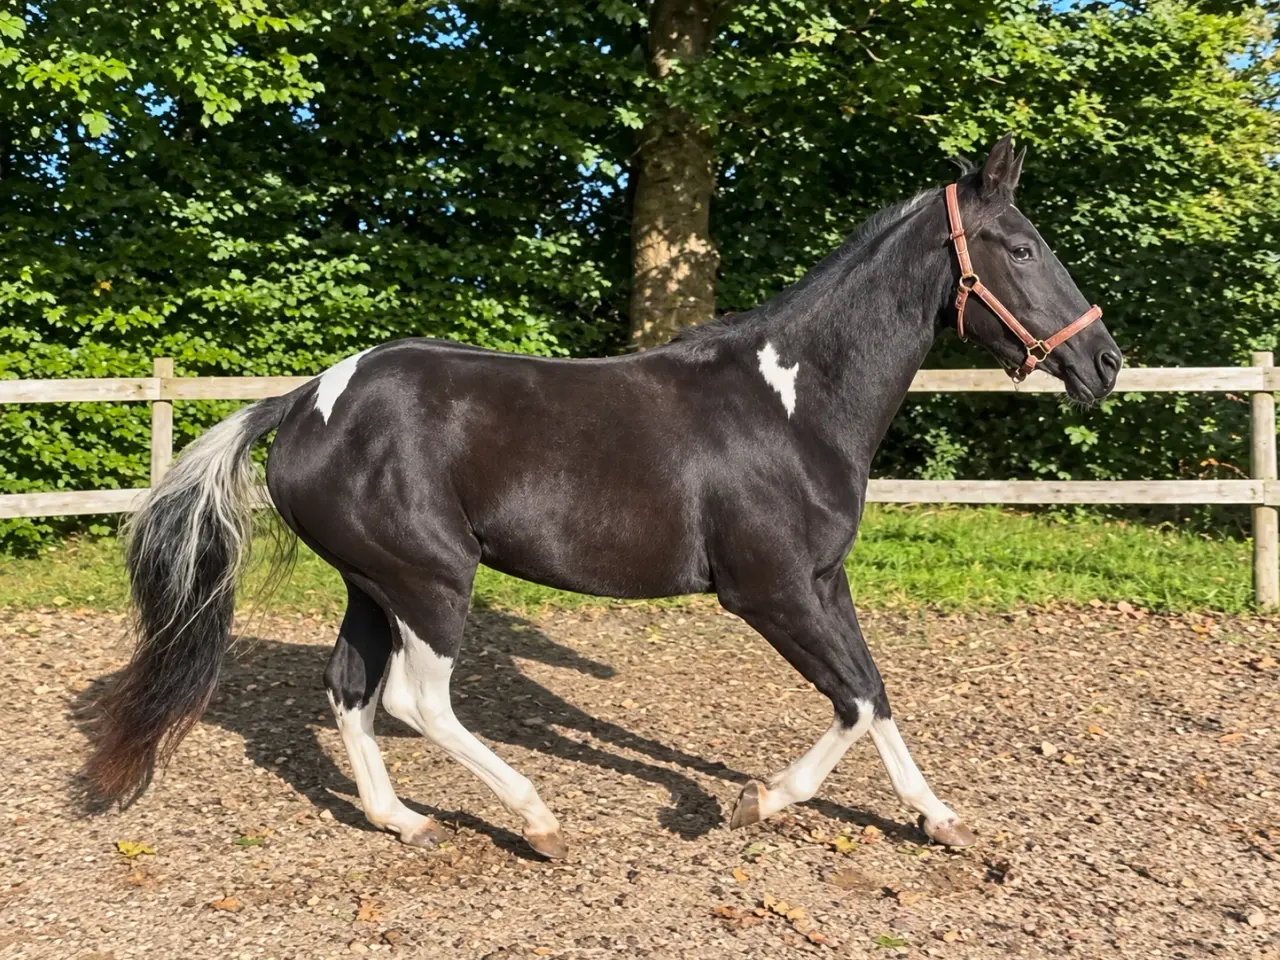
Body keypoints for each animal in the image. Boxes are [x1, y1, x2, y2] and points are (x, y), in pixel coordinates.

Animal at [85, 136, 1122, 859]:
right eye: (1022, 247)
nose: (1103, 362)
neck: (794, 405)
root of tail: (303, 401)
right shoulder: (771, 590)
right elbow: (856, 700)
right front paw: (754, 801)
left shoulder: (825, 582)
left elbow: (873, 691)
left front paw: (940, 818)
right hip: (431, 580)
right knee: (420, 700)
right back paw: (538, 821)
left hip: (372, 584)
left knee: (349, 687)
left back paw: (405, 821)